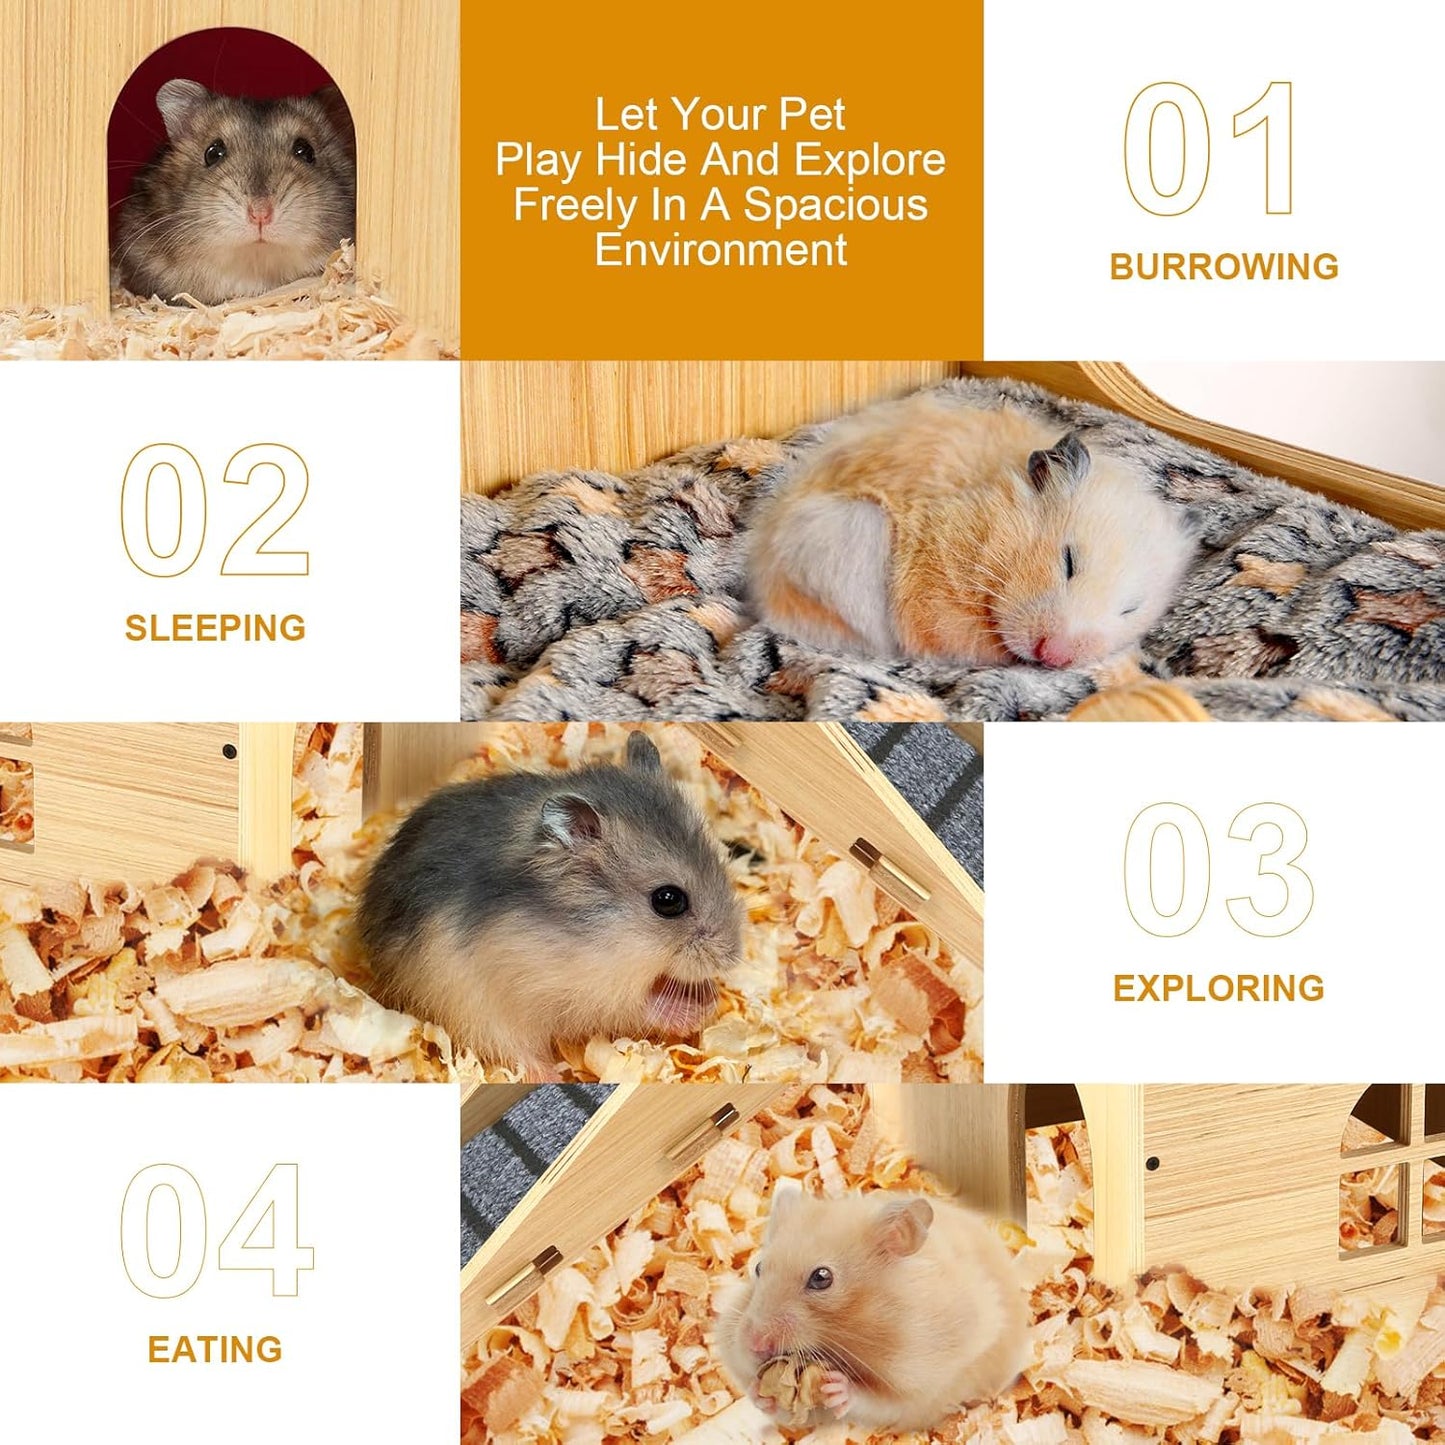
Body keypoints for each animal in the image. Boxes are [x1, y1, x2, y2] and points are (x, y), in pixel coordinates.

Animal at [355, 732, 744, 1077]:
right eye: (668, 900)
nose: (732, 957)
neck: (601, 931)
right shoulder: (586, 989)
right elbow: (639, 1004)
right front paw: (702, 1008)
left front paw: (711, 999)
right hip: (469, 1010)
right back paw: (549, 1072)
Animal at [715, 1184, 1030, 1433]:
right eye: (758, 1267)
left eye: (821, 1278)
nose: (755, 1344)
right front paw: (759, 1392)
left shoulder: (925, 1376)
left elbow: (880, 1401)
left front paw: (838, 1387)